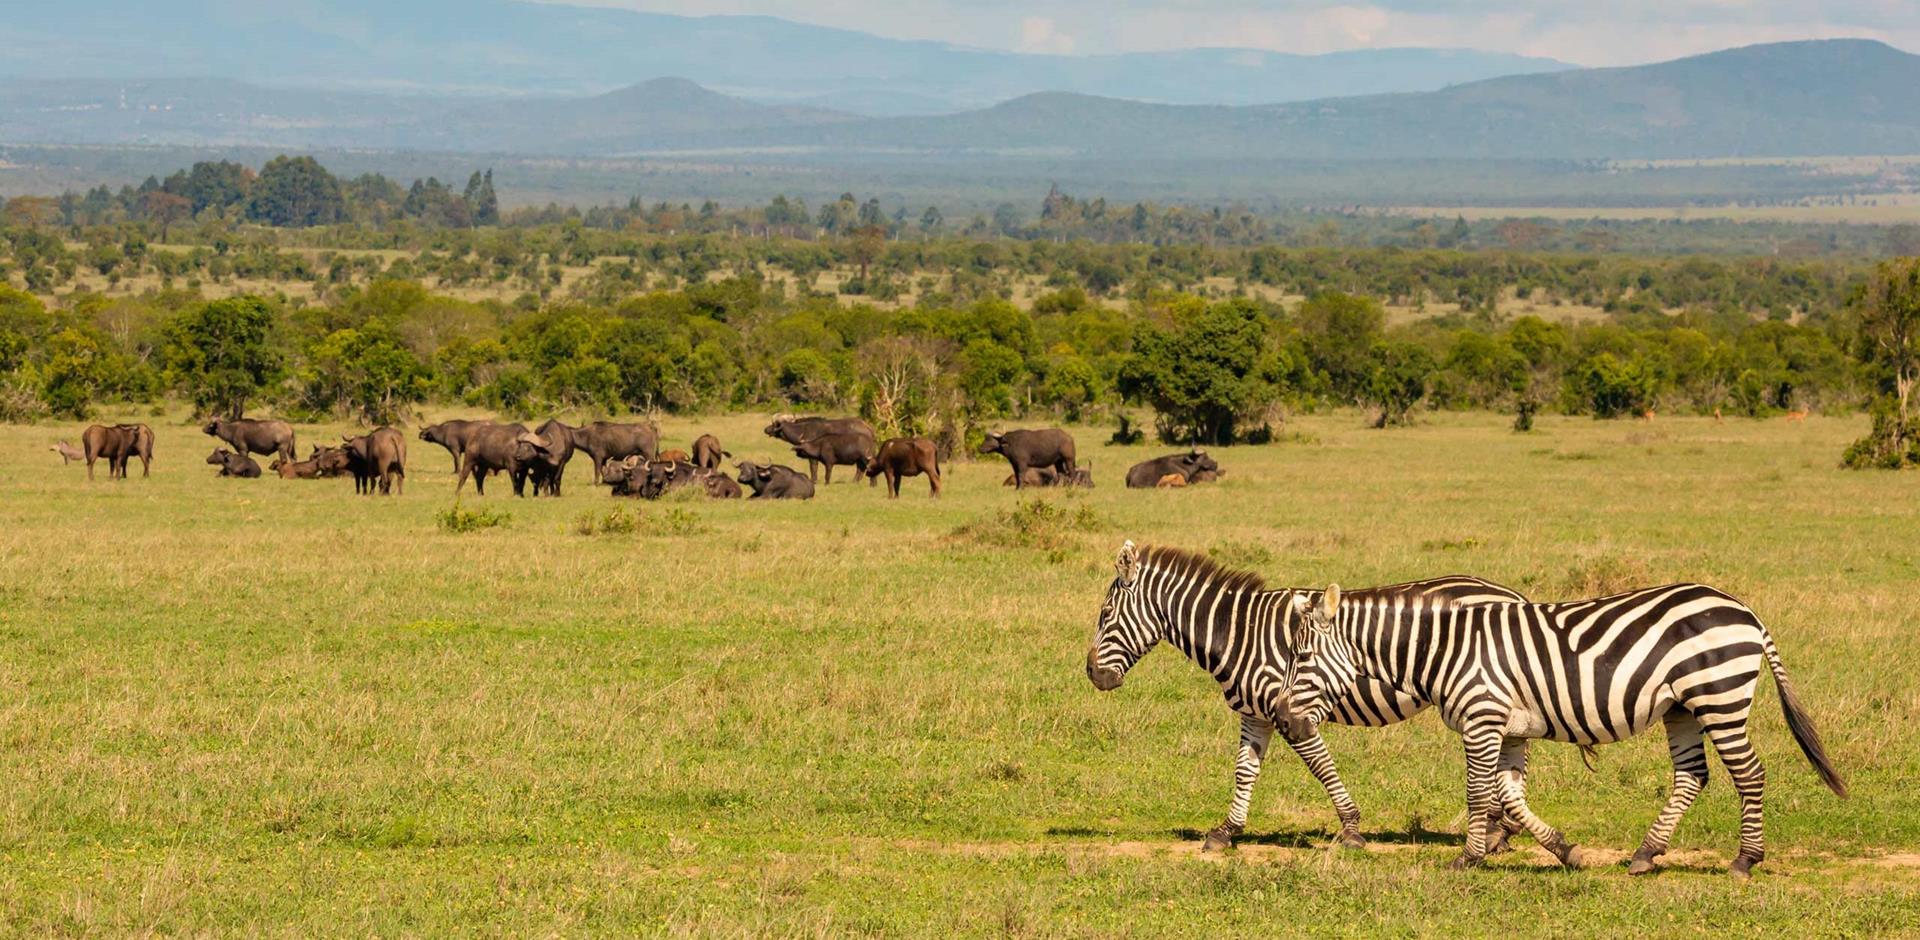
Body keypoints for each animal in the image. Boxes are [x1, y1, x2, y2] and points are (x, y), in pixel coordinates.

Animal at [1082, 537, 1543, 851]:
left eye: (1105, 614)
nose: (1091, 674)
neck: (1239, 633)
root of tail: (1514, 594)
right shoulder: (1255, 713)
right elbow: (1245, 770)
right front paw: (1226, 832)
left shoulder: (1290, 711)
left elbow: (1321, 766)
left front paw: (1352, 829)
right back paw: (1500, 828)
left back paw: (1498, 830)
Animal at [1282, 579, 1850, 874]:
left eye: (1302, 656)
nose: (1284, 718)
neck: (1446, 650)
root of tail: (1745, 612)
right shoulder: (1509, 727)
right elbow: (1509, 795)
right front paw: (1564, 851)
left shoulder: (1482, 718)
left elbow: (1477, 792)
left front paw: (1468, 858)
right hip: (1681, 709)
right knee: (1693, 776)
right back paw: (1645, 855)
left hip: (1720, 696)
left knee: (1749, 774)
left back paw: (1745, 860)